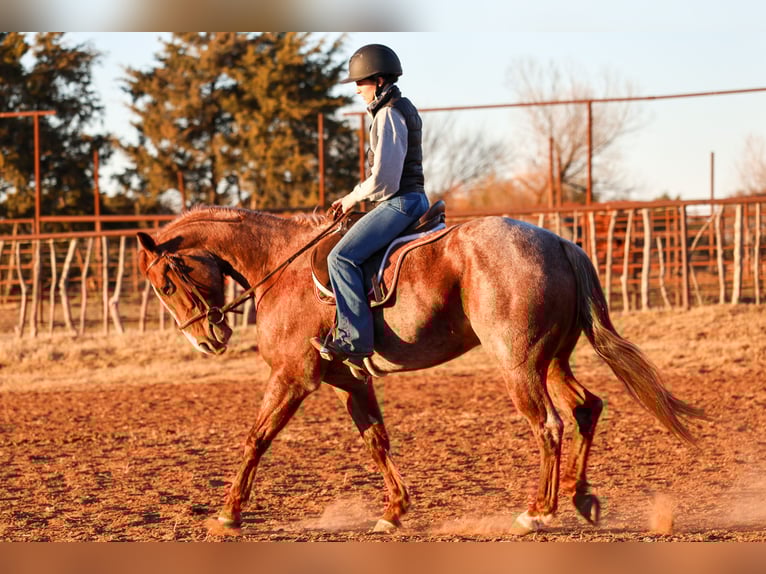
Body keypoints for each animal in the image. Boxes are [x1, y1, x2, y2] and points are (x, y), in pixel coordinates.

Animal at [136, 204, 706, 535]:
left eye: (164, 283)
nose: (206, 340)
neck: (283, 265)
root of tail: (560, 243)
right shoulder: (349, 380)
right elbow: (377, 440)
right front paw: (393, 511)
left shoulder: (293, 377)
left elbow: (256, 438)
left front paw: (229, 513)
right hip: (553, 361)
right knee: (587, 408)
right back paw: (581, 497)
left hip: (519, 364)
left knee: (549, 425)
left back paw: (538, 511)